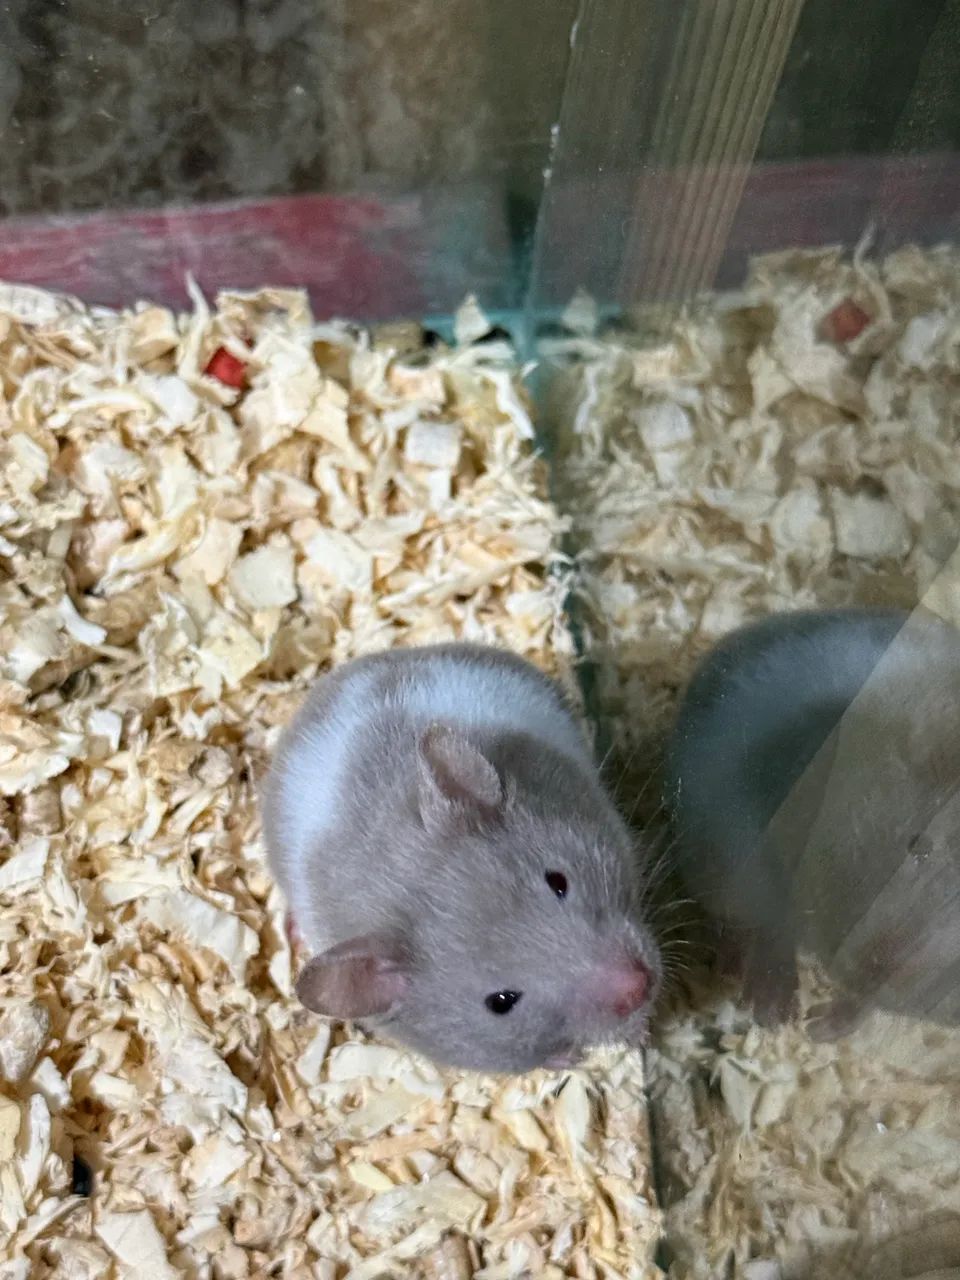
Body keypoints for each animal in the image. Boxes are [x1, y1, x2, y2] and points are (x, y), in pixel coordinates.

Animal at [664, 605, 960, 1037]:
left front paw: (820, 1030)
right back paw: (736, 974)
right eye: (917, 843)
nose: (870, 974)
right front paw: (773, 1013)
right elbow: (773, 916)